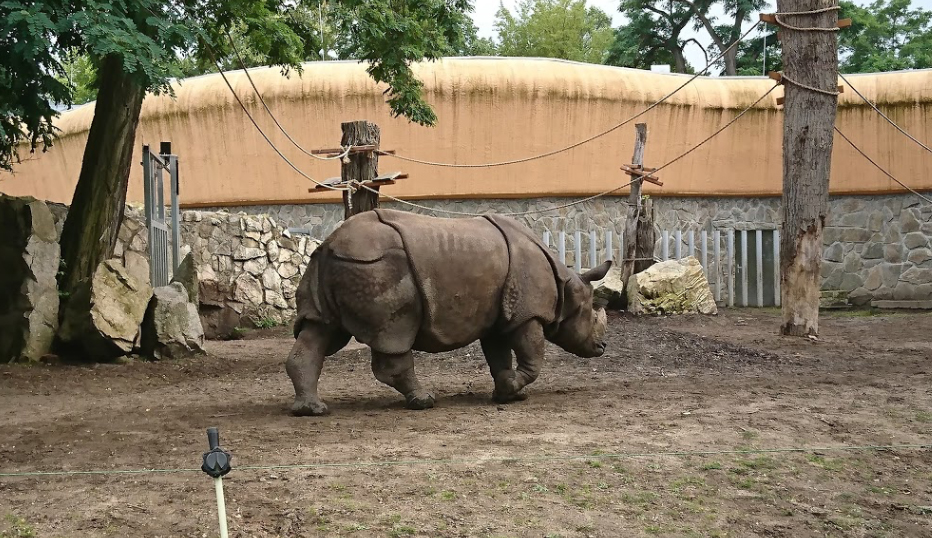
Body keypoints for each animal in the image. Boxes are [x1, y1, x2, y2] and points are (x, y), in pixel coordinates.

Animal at [286, 208, 612, 416]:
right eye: (591, 315)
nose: (602, 346)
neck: (567, 285)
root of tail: (329, 243)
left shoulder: (497, 316)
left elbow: (499, 356)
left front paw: (508, 394)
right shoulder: (526, 313)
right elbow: (533, 358)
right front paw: (513, 388)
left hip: (336, 266)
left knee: (319, 330)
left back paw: (312, 410)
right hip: (376, 266)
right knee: (395, 333)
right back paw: (424, 401)